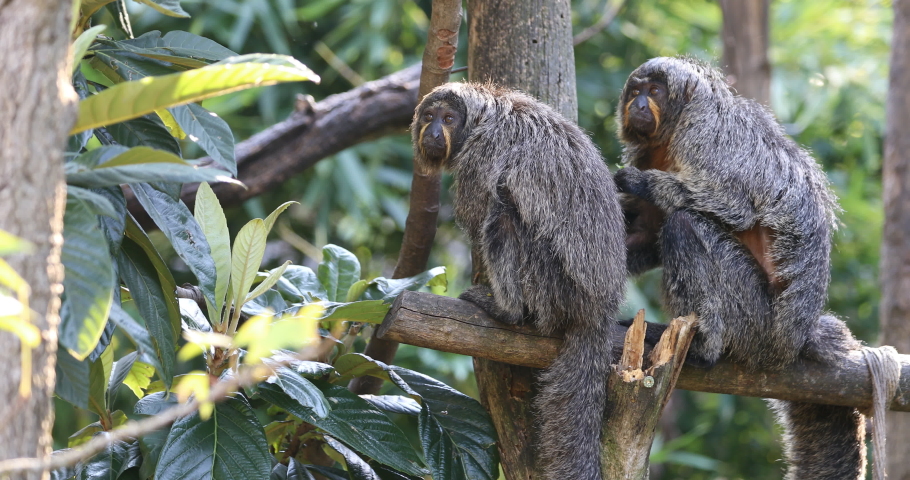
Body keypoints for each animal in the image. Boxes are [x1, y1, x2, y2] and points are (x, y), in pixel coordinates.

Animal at [414, 82, 628, 480]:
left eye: (448, 119)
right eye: (430, 116)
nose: (433, 133)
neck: (486, 116)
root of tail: (599, 309)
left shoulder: (481, 155)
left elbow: (480, 212)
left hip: (554, 286)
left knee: (503, 211)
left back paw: (507, 310)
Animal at [616, 57, 864, 480]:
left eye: (655, 92)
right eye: (635, 92)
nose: (639, 104)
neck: (670, 135)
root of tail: (795, 339)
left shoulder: (703, 133)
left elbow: (733, 205)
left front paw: (637, 182)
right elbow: (647, 232)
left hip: (754, 318)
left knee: (685, 225)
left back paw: (703, 347)